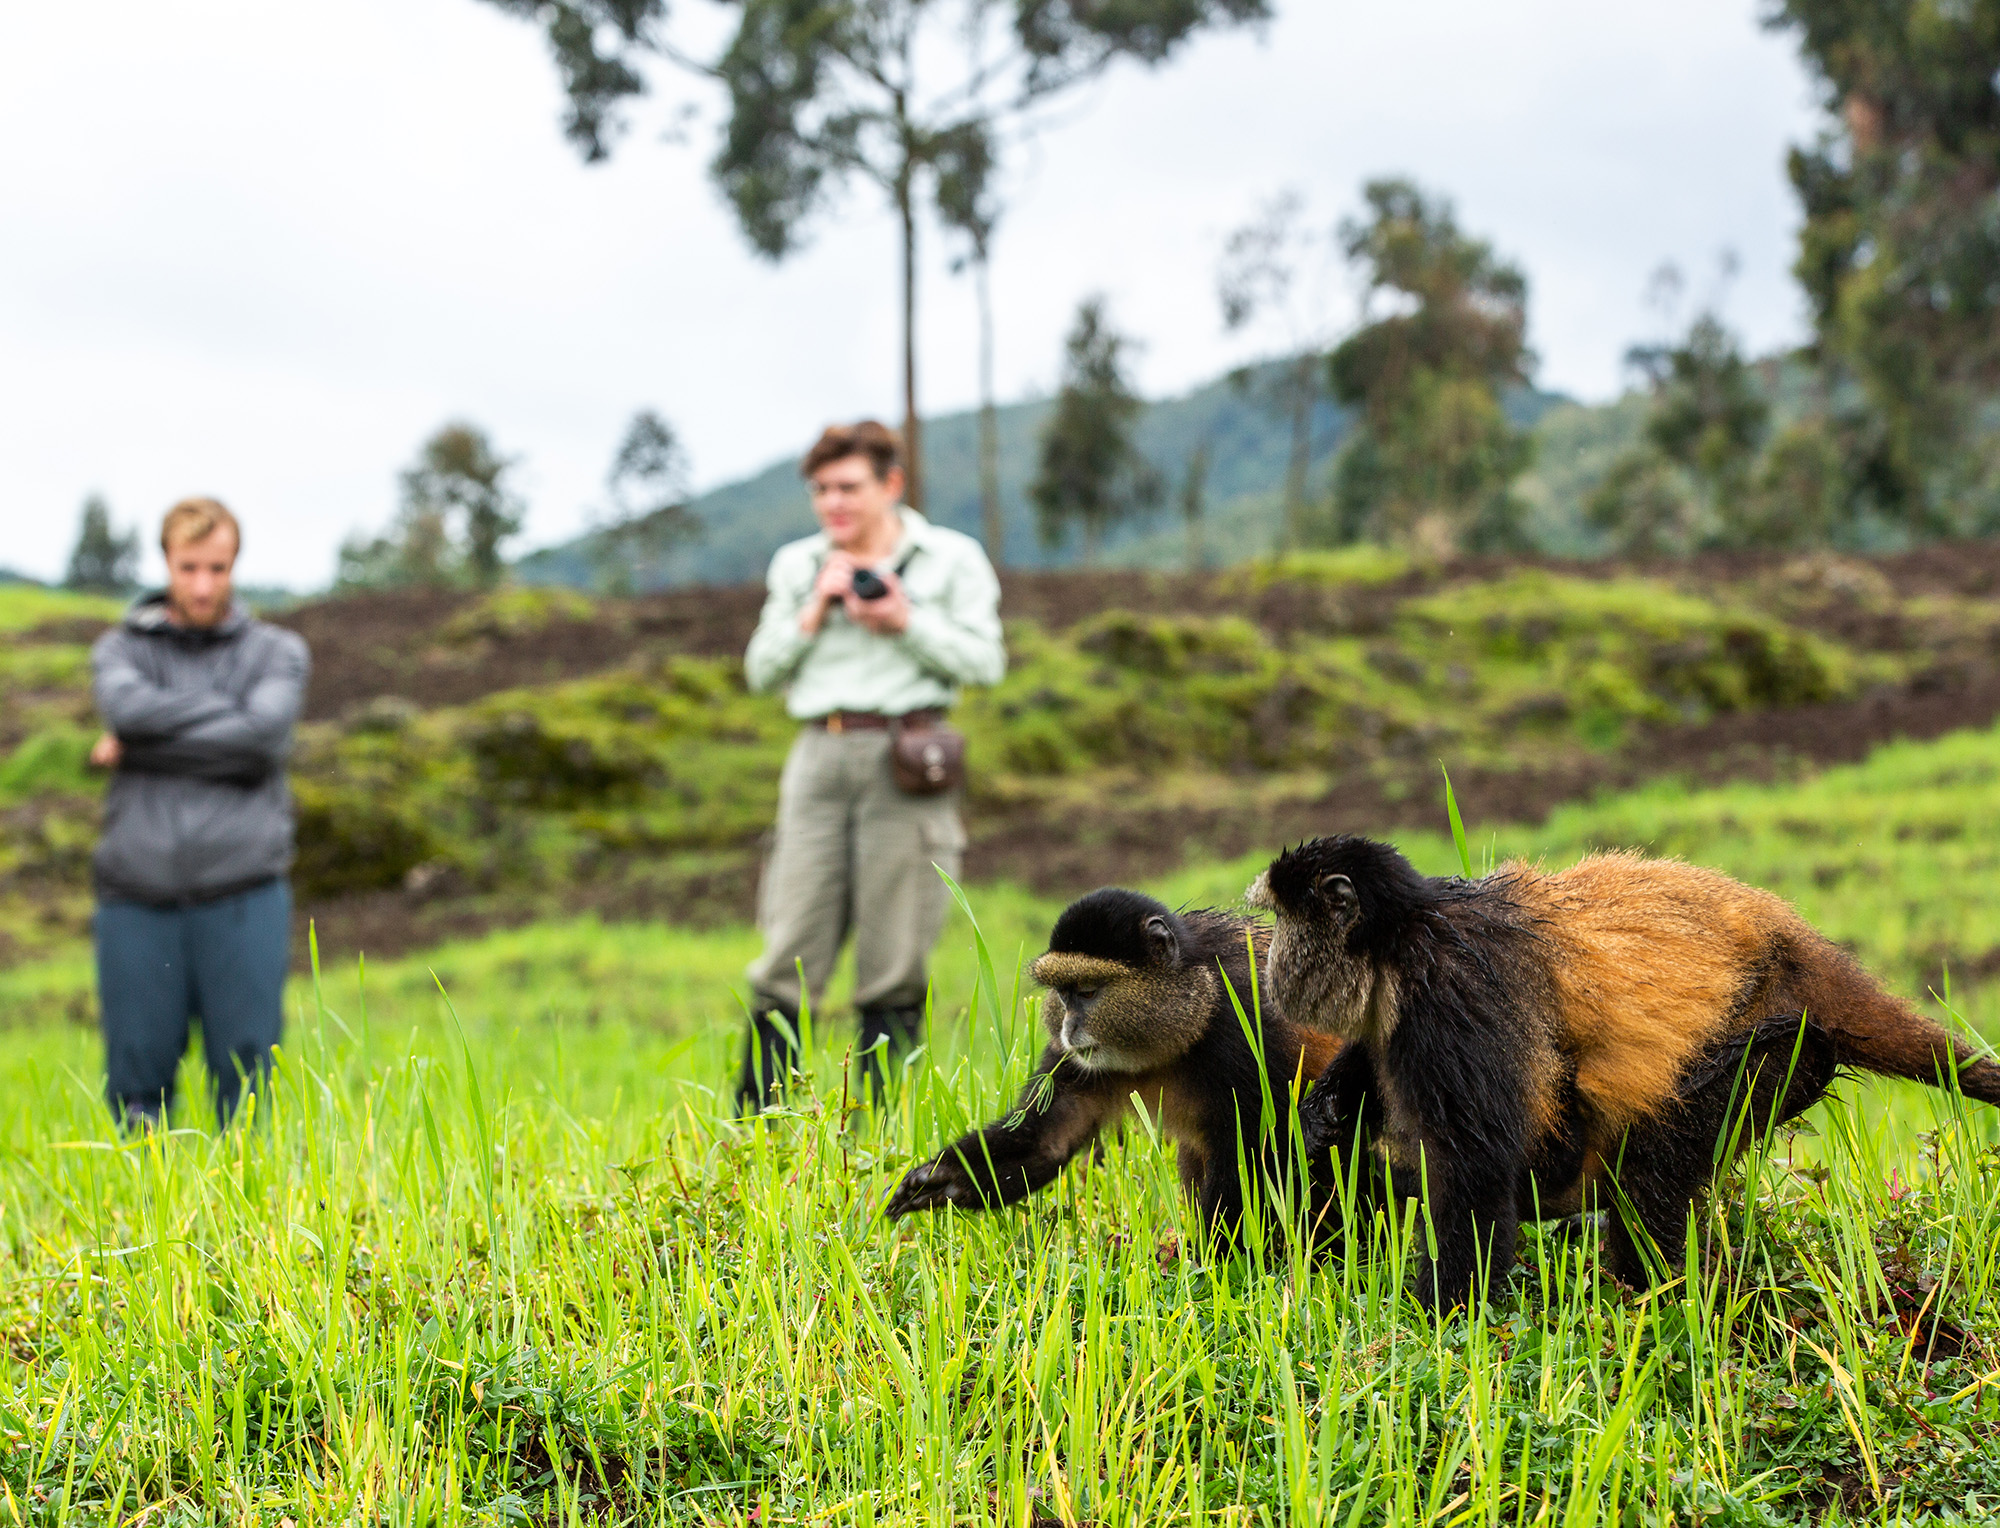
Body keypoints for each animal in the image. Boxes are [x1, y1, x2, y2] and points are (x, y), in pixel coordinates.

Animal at [885, 887, 1342, 1238]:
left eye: (1088, 992)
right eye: (1063, 993)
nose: (1068, 1028)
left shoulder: (1246, 1024)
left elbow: (1254, 1150)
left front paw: (1218, 1261)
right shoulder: (1071, 1061)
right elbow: (1046, 1139)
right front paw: (942, 1179)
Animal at [1249, 835, 2000, 1312]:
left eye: (1285, 922)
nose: (1271, 961)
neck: (1402, 931)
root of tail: (1795, 945)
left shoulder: (1444, 988)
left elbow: (1476, 1169)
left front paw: (1440, 1322)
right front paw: (1328, 1107)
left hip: (1776, 1048)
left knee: (1650, 1172)